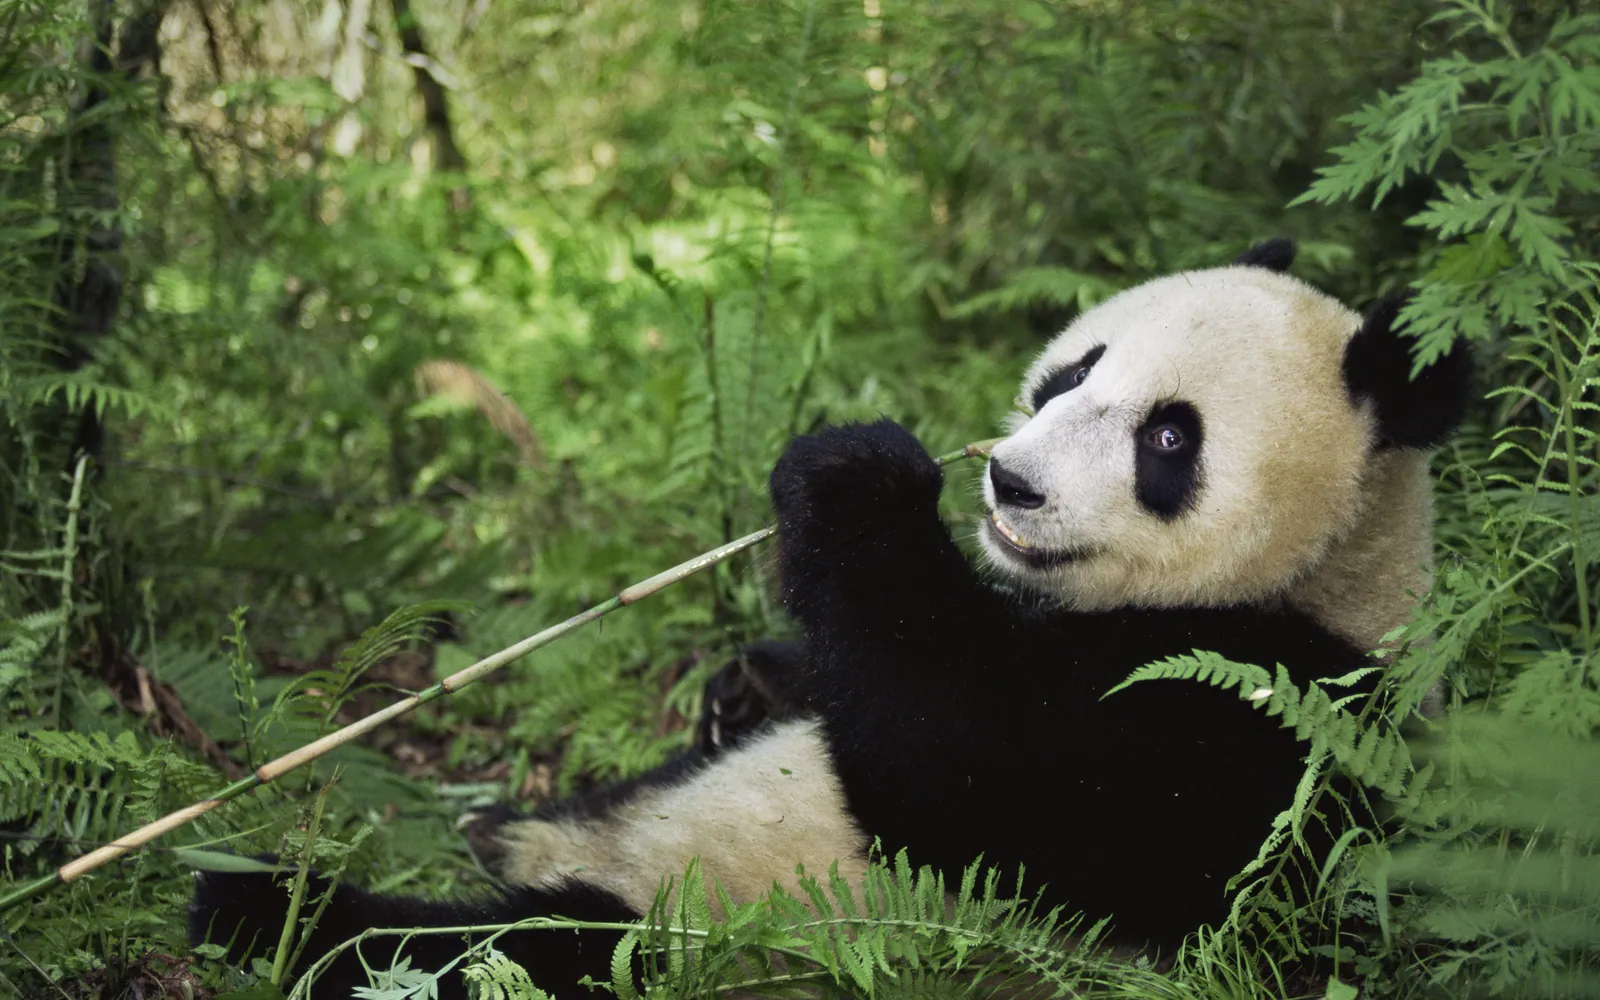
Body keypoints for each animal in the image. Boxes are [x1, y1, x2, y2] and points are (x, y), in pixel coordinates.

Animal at [190, 240, 1472, 999]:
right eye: (1073, 373)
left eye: (1167, 436)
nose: (1008, 483)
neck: (1327, 573)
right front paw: (749, 680)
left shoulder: (1264, 718)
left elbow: (973, 782)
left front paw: (857, 478)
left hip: (705, 941)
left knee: (508, 955)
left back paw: (269, 909)